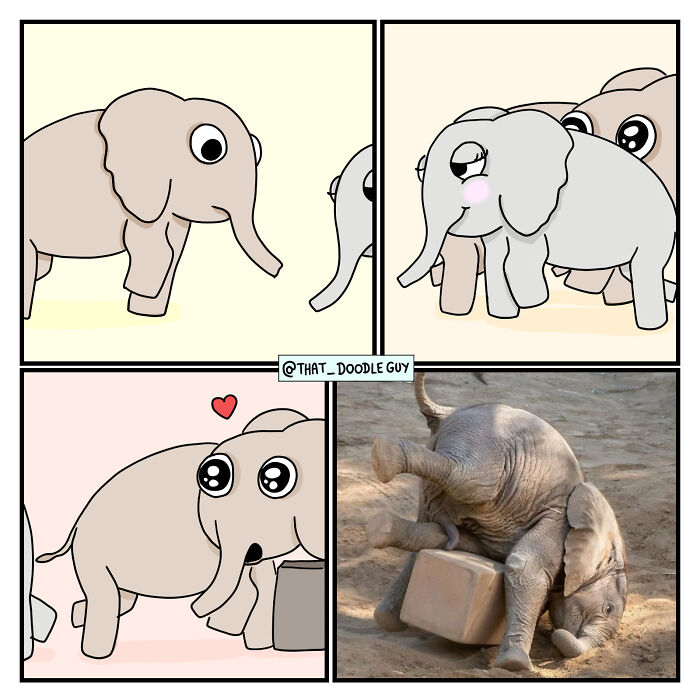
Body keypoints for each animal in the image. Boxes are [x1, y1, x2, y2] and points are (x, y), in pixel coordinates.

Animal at [23, 88, 282, 319]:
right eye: (211, 149)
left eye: (258, 149)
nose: (280, 269)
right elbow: (157, 249)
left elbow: (173, 251)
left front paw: (146, 314)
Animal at [36, 409, 324, 658]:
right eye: (214, 476)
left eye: (275, 481)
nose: (194, 610)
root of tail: (76, 524)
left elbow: (260, 581)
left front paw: (256, 645)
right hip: (93, 554)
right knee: (107, 598)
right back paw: (95, 654)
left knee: (121, 599)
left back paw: (77, 617)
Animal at [369, 373, 627, 671]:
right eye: (607, 609)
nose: (557, 641)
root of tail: (450, 412)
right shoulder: (557, 520)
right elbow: (525, 567)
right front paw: (516, 664)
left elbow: (457, 542)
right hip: (483, 448)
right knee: (472, 481)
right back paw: (384, 456)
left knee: (431, 527)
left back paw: (385, 610)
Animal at [398, 107, 676, 330]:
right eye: (421, 170)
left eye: (463, 167)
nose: (399, 281)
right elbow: (497, 260)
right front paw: (505, 316)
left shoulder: (534, 210)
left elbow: (521, 258)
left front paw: (534, 301)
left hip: (654, 232)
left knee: (644, 269)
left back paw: (651, 326)